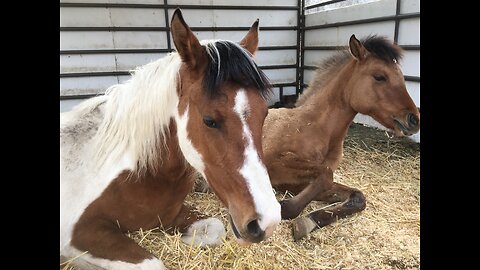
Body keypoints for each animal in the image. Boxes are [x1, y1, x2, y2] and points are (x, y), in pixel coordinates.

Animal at [59, 9, 282, 268]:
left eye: (265, 113)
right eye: (209, 120)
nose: (267, 222)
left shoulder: (169, 215)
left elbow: (216, 228)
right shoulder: (80, 233)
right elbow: (152, 263)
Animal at [262, 34, 420, 239]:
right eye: (380, 76)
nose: (414, 119)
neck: (312, 128)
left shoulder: (299, 183)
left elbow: (356, 195)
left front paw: (307, 221)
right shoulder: (272, 163)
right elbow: (326, 173)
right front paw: (285, 207)